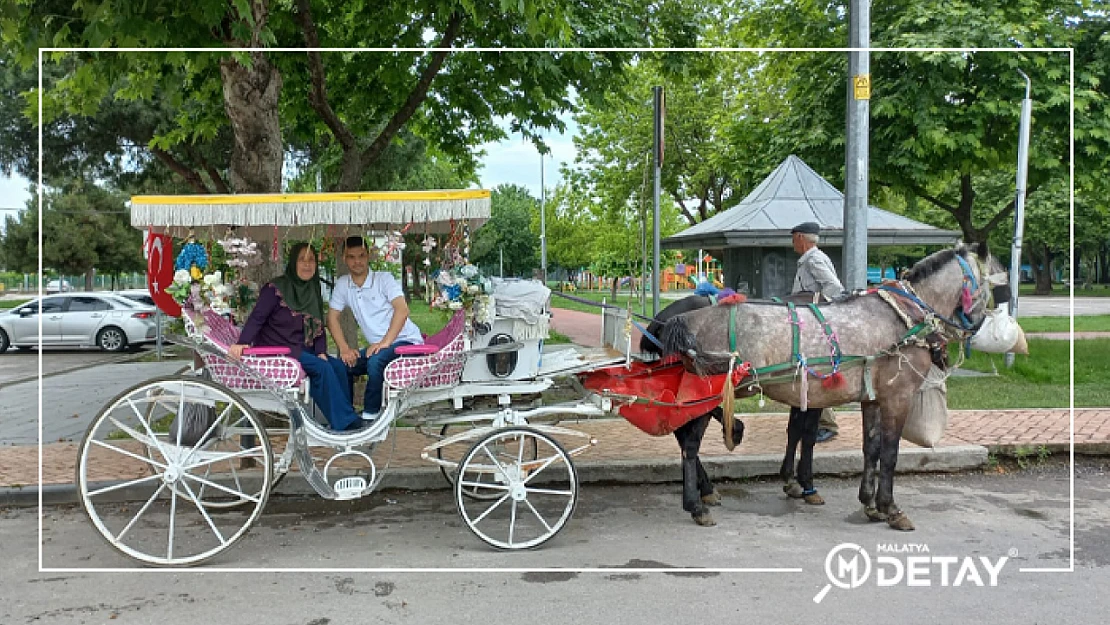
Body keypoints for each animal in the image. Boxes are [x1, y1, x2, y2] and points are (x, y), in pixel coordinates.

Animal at [657, 242, 1007, 530]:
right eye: (994, 283)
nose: (977, 326)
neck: (903, 317)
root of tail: (685, 319)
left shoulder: (872, 398)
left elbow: (871, 448)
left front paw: (869, 503)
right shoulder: (897, 397)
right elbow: (889, 453)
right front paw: (890, 508)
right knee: (689, 445)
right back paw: (697, 505)